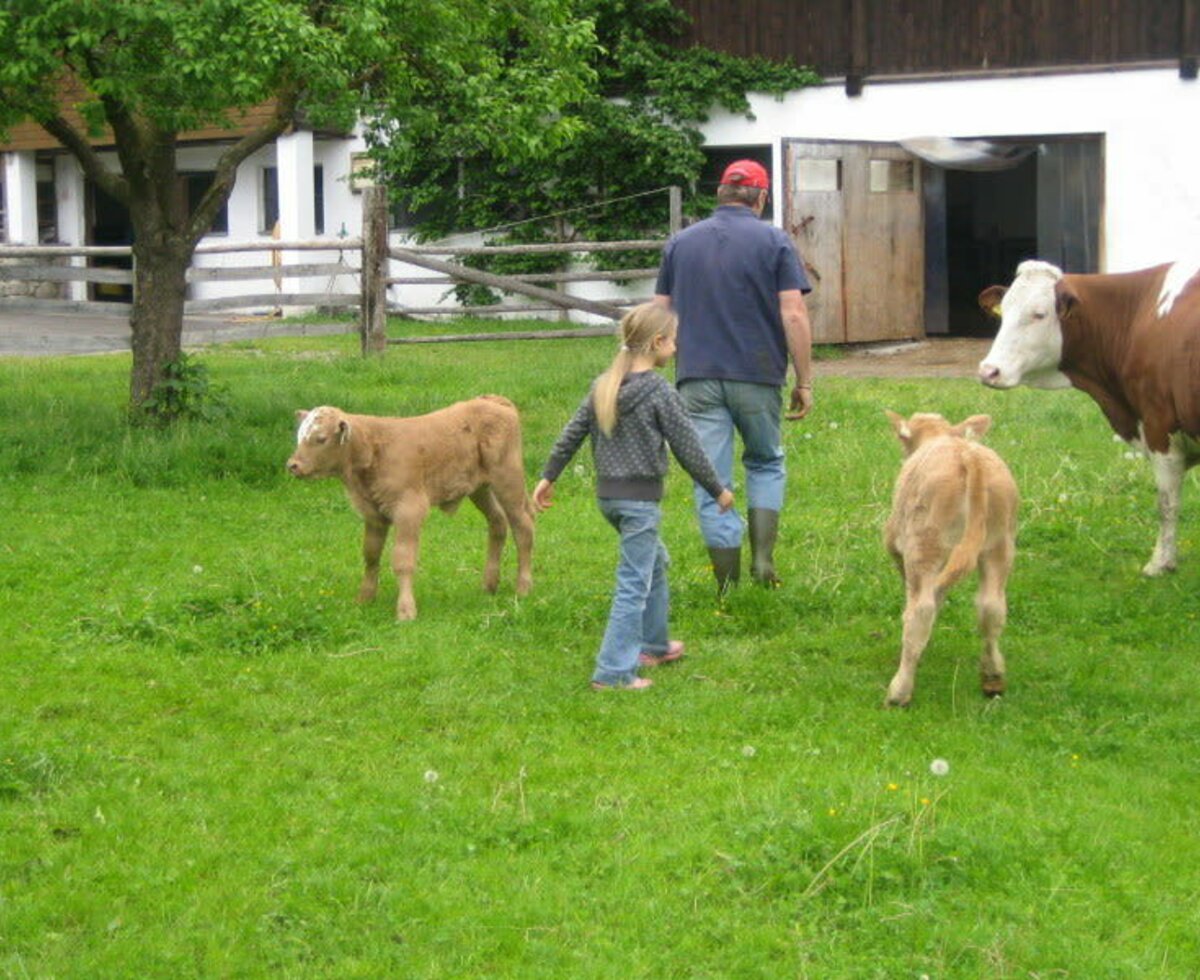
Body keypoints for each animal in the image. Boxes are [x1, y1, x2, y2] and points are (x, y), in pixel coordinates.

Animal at [285, 391, 535, 614]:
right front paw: (365, 598)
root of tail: (493, 400)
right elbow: (371, 554)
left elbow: (402, 560)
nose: (293, 465)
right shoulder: (373, 514)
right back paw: (489, 584)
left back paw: (523, 588)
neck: (373, 448)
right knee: (498, 522)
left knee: (523, 528)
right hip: (480, 488)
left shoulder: (409, 510)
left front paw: (406, 610)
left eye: (321, 438)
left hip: (508, 480)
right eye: (299, 437)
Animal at [878, 410, 1017, 705]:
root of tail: (968, 456)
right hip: (999, 544)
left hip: (925, 544)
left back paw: (899, 692)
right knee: (991, 606)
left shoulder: (898, 546)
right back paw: (993, 678)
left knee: (920, 610)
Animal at [974, 260, 1200, 578]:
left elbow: (1167, 503)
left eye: (1039, 314)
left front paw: (1161, 563)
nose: (989, 371)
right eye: (1003, 311)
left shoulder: (1159, 426)